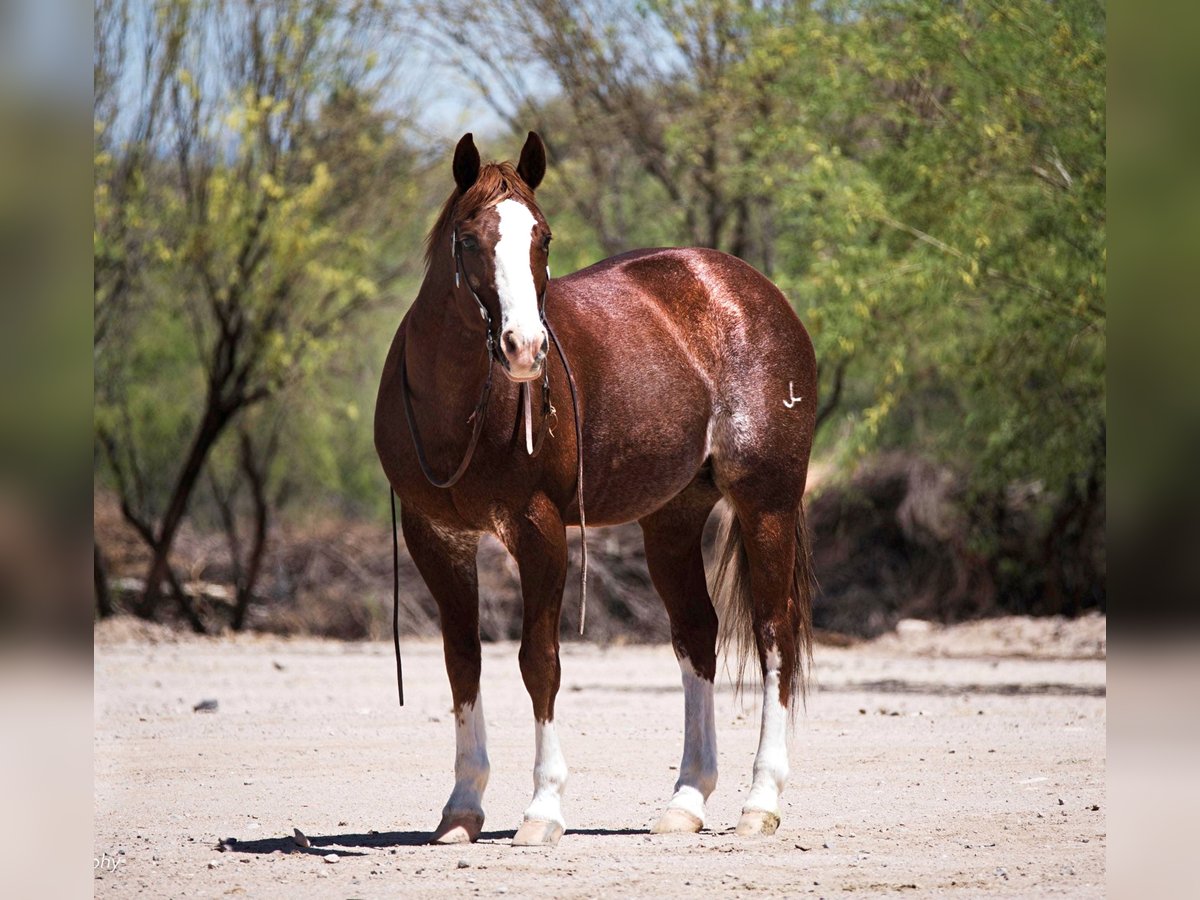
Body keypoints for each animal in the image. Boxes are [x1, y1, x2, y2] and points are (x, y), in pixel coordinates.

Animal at [374, 130, 820, 849]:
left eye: (544, 237)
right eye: (468, 239)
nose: (525, 348)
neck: (458, 408)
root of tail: (746, 289)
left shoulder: (538, 529)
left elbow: (540, 660)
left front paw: (543, 809)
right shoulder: (436, 538)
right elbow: (462, 662)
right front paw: (462, 808)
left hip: (767, 505)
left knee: (774, 636)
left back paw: (760, 801)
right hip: (672, 519)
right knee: (696, 634)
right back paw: (686, 801)